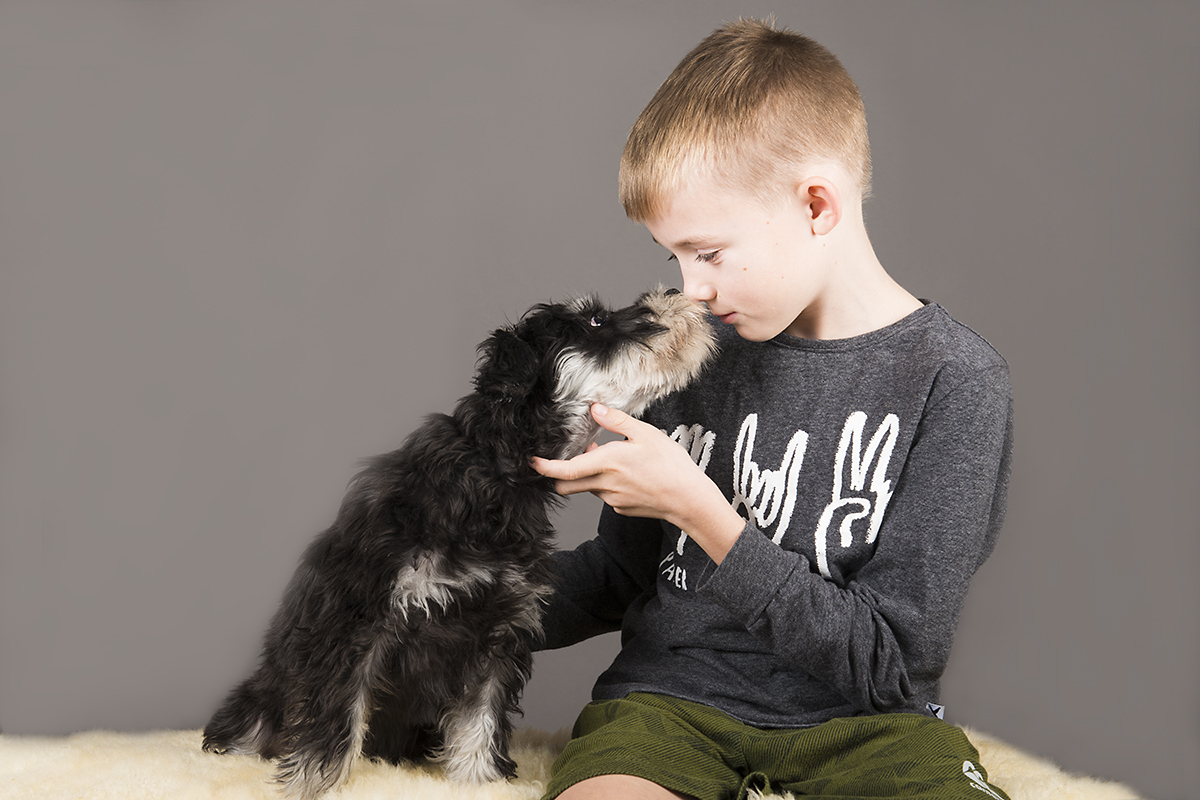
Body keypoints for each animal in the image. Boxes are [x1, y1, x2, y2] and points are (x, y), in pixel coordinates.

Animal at [201, 287, 715, 800]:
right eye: (593, 321)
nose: (673, 293)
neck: (495, 472)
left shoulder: (500, 632)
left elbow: (480, 723)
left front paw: (479, 782)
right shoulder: (358, 625)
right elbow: (335, 720)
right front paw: (314, 785)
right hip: (260, 700)